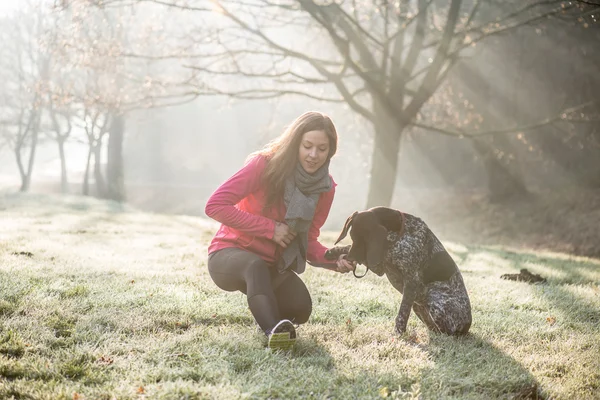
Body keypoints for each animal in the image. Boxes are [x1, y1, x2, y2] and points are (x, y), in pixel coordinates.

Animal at [326, 208, 472, 336]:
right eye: (352, 237)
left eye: (364, 240)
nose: (350, 259)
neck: (400, 231)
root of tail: (467, 327)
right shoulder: (380, 262)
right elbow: (350, 248)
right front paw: (334, 251)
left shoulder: (410, 280)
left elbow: (402, 313)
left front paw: (398, 333)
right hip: (418, 306)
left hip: (434, 302)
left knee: (446, 332)